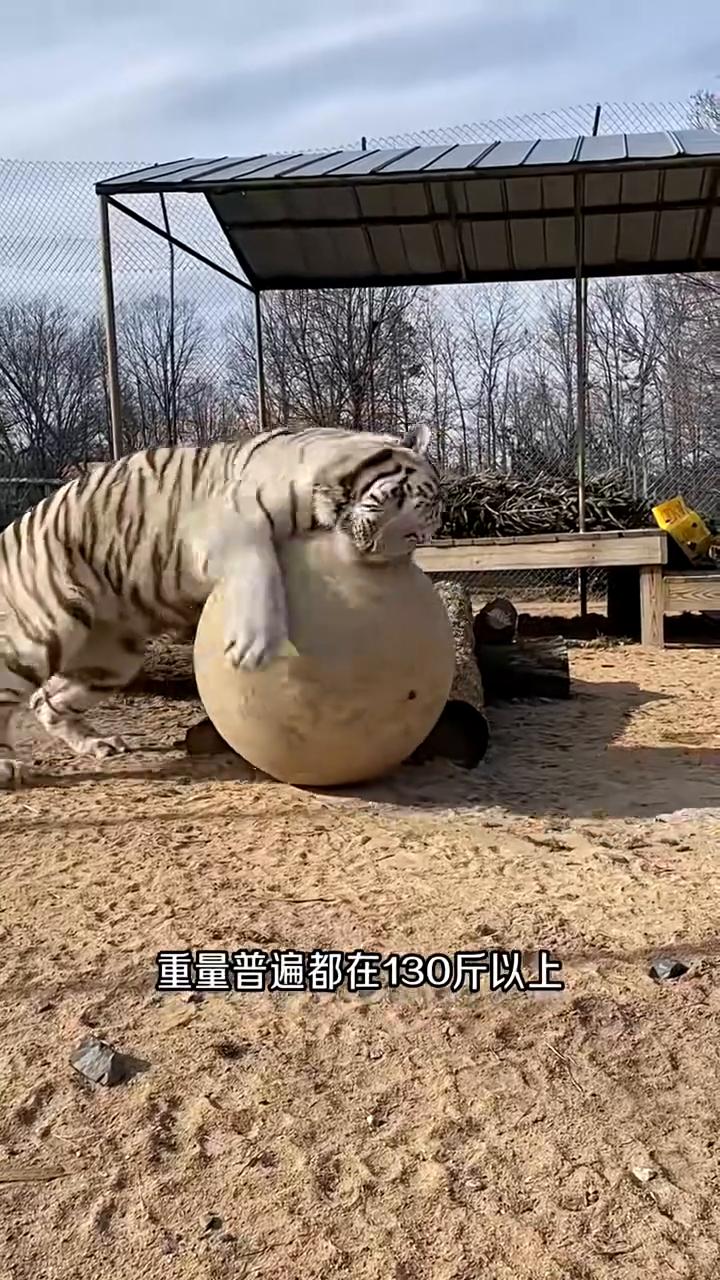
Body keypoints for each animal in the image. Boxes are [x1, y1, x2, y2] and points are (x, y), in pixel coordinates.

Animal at [0, 422, 441, 788]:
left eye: (415, 536)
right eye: (395, 497)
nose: (372, 548)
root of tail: (11, 530)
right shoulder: (228, 524)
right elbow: (259, 565)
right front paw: (253, 644)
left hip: (110, 662)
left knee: (44, 700)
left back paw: (97, 744)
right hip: (45, 629)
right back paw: (8, 767)